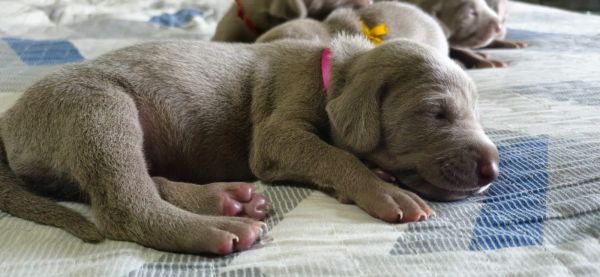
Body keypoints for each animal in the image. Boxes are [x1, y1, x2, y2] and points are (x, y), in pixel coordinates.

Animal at [0, 35, 496, 254]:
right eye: (436, 113)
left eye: (478, 111)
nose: (492, 170)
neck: (332, 71)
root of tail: (8, 121)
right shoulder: (277, 135)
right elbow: (333, 154)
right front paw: (385, 190)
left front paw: (379, 175)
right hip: (99, 108)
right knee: (123, 204)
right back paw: (219, 227)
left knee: (130, 183)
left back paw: (226, 199)